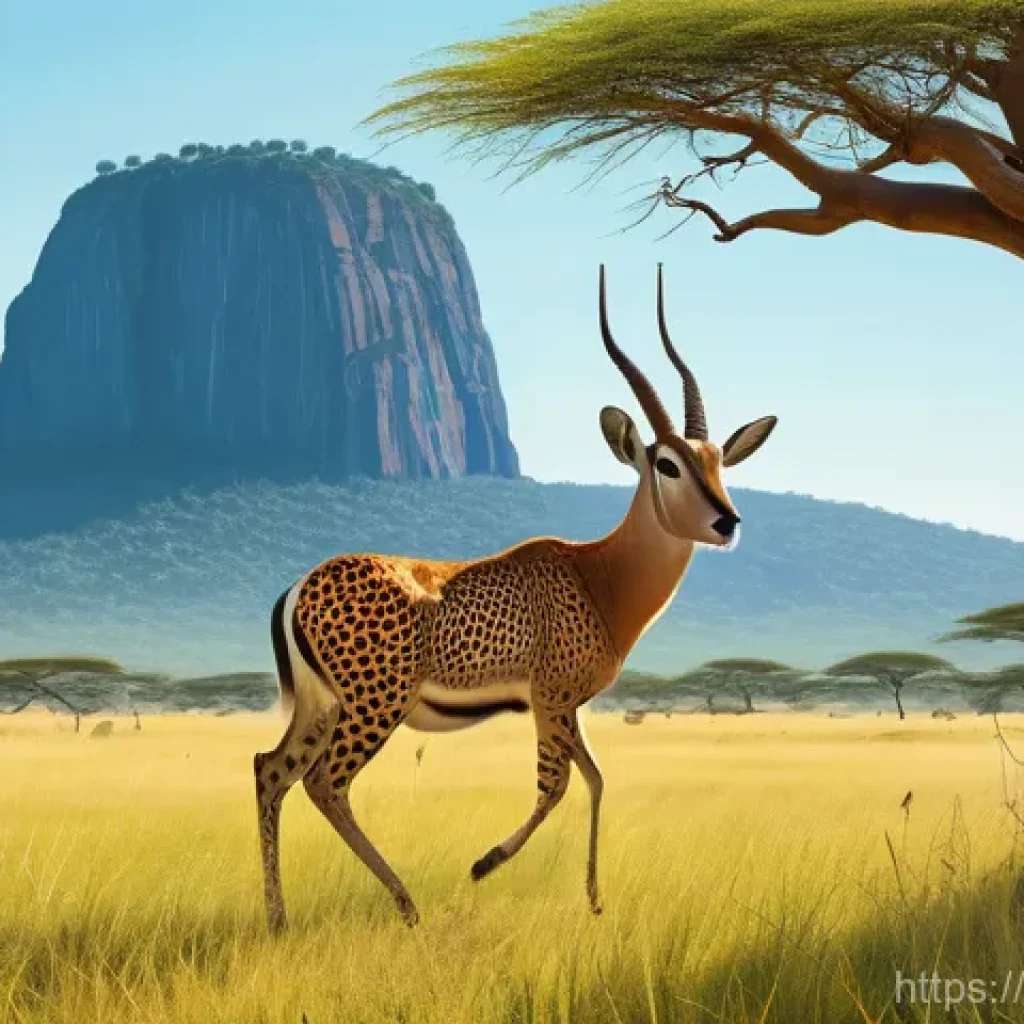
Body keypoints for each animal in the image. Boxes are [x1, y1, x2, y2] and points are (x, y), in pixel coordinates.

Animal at [254, 264, 777, 931]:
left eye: (717, 461)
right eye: (667, 464)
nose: (726, 521)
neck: (598, 574)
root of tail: (301, 586)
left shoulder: (568, 705)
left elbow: (595, 778)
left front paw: (594, 898)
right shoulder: (550, 699)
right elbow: (557, 785)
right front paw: (485, 864)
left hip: (323, 707)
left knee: (271, 770)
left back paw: (279, 918)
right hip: (375, 708)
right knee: (324, 784)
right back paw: (406, 904)